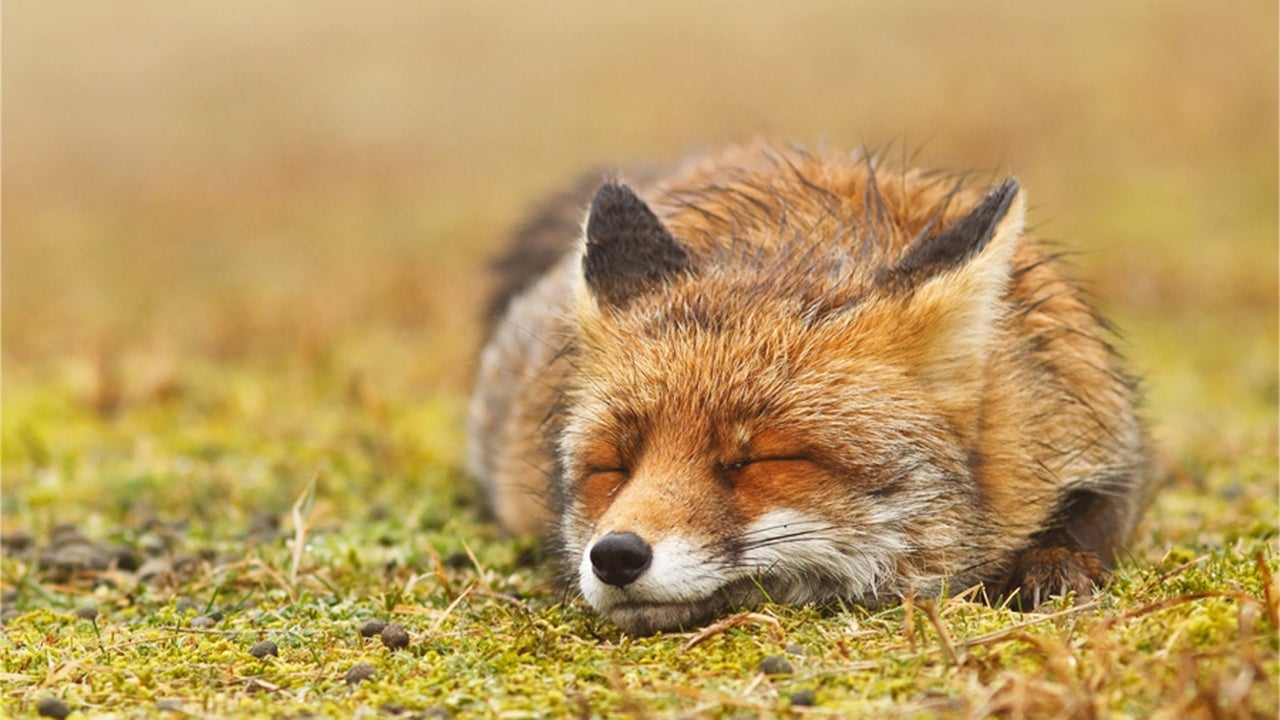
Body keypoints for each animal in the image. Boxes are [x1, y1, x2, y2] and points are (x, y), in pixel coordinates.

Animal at [465, 142, 1150, 635]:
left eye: (758, 461)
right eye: (613, 467)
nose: (614, 555)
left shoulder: (1097, 436)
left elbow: (1083, 524)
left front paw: (1051, 566)